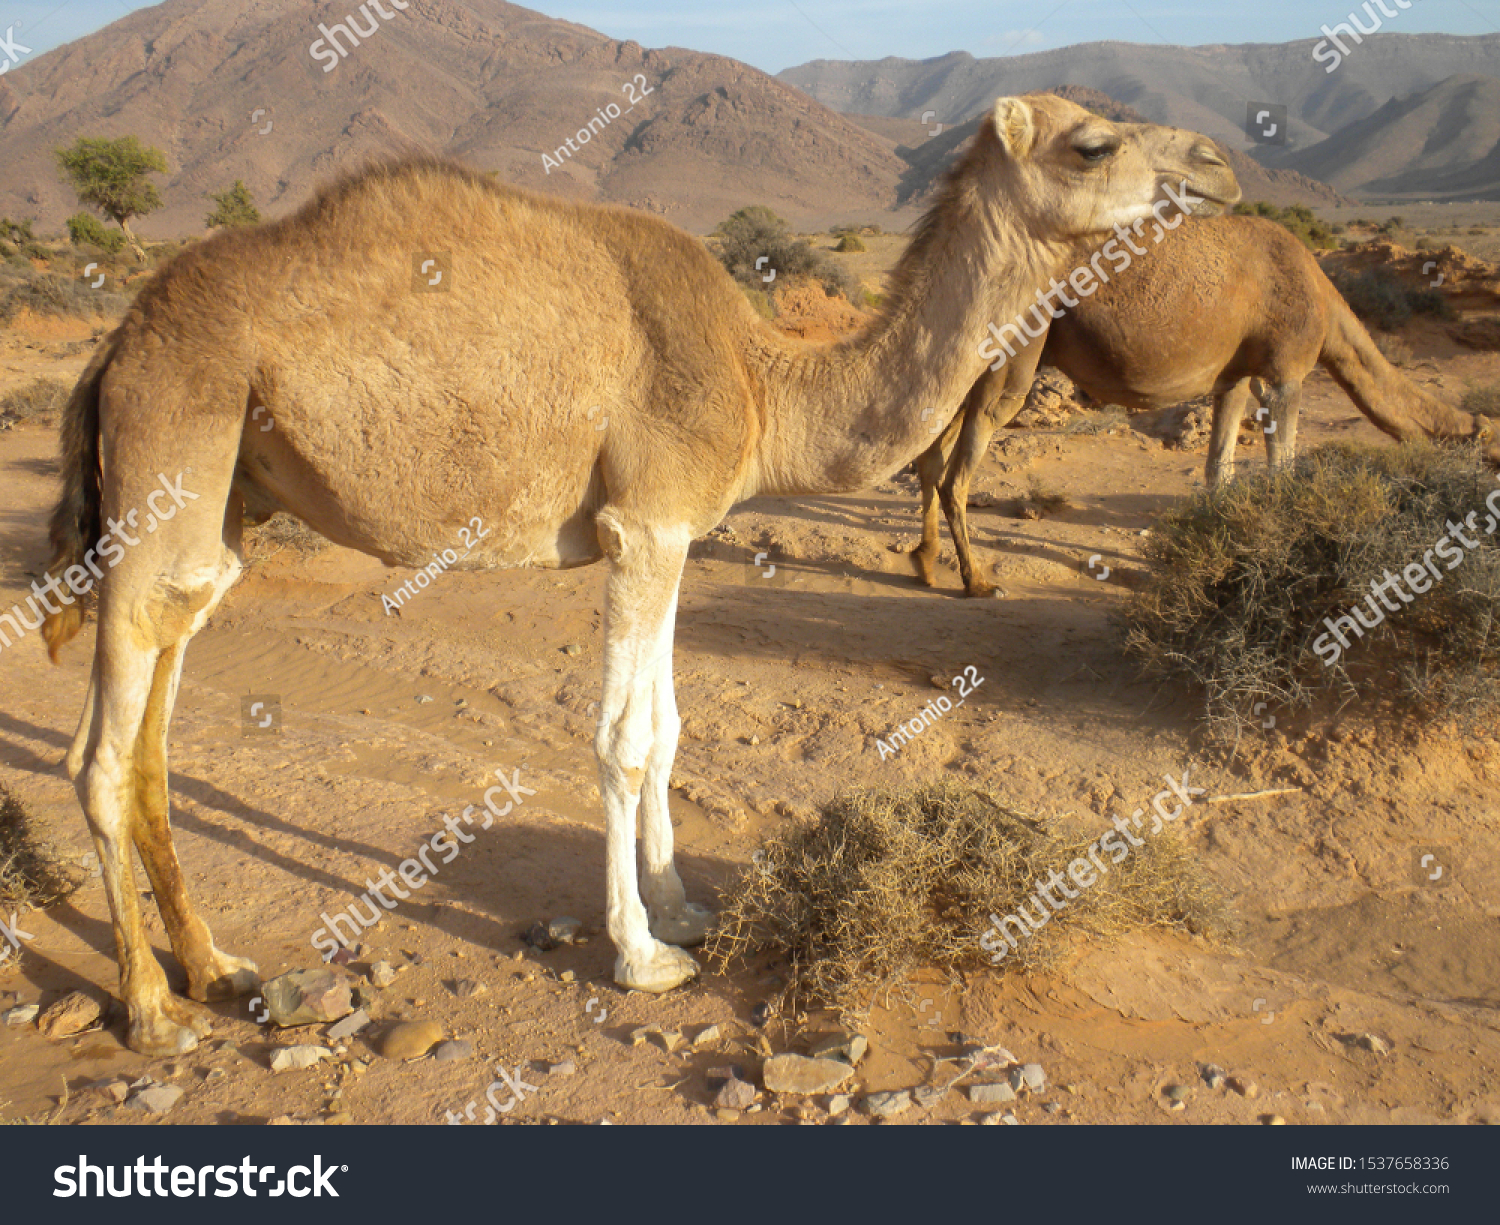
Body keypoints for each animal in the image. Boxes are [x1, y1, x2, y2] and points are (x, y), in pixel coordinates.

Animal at [41, 93, 1236, 1049]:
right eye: (1094, 142)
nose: (1220, 167)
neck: (762, 377)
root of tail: (114, 346)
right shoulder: (645, 523)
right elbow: (621, 740)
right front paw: (644, 954)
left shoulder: (674, 532)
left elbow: (668, 727)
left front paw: (684, 904)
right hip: (170, 444)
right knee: (97, 755)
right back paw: (149, 1007)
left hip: (220, 501)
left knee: (157, 719)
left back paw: (212, 966)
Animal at [906, 214, 1500, 596]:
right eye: (1492, 454)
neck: (1329, 311)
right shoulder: (1286, 370)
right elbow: (1282, 467)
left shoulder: (1233, 376)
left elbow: (1219, 467)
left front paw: (1219, 544)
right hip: (1014, 350)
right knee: (959, 465)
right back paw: (976, 581)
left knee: (931, 450)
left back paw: (925, 562)